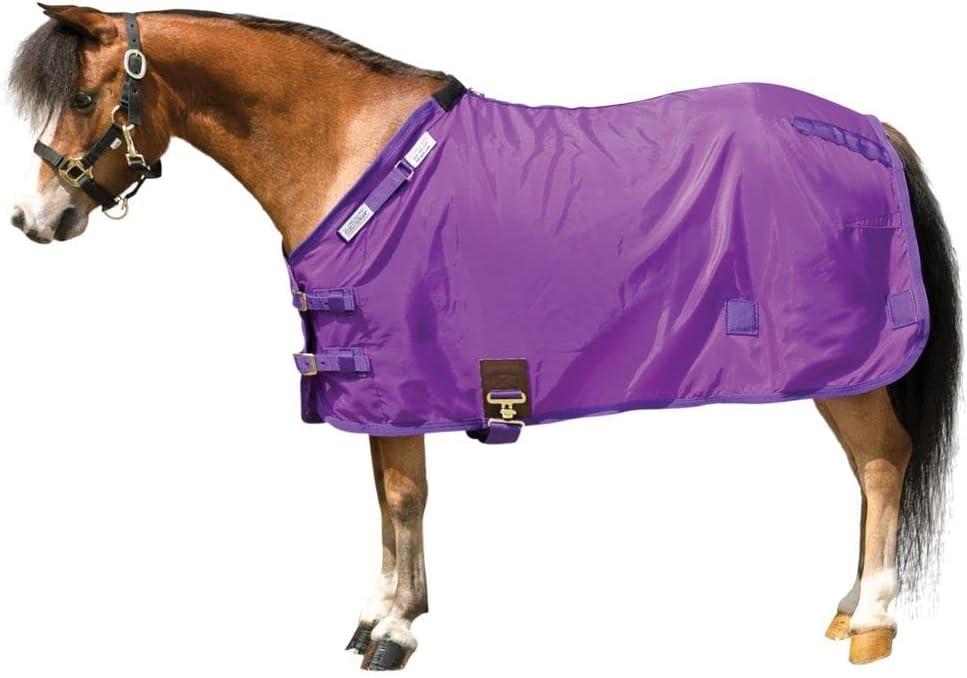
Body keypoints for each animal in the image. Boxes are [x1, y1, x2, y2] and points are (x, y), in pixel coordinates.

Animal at [8, 5, 960, 671]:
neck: (350, 154)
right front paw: (381, 613)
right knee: (867, 474)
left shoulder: (397, 377)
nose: (32, 219)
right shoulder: (380, 388)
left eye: (85, 97)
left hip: (845, 368)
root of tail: (871, 128)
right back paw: (845, 608)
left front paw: (392, 631)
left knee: (881, 464)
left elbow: (402, 498)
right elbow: (387, 500)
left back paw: (870, 623)